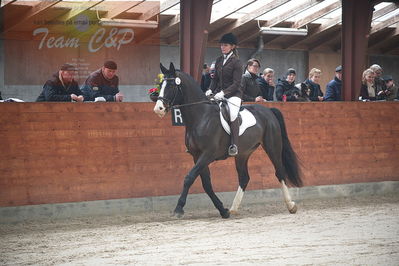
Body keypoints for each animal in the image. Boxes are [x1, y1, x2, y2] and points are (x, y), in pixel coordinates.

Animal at [154, 62, 304, 218]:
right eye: (160, 84)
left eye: (171, 85)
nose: (158, 109)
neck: (201, 117)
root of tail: (268, 111)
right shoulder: (197, 156)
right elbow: (206, 184)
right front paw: (223, 210)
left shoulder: (207, 154)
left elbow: (189, 178)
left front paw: (178, 208)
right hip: (243, 154)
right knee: (244, 178)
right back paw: (233, 208)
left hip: (272, 147)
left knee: (279, 172)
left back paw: (291, 205)